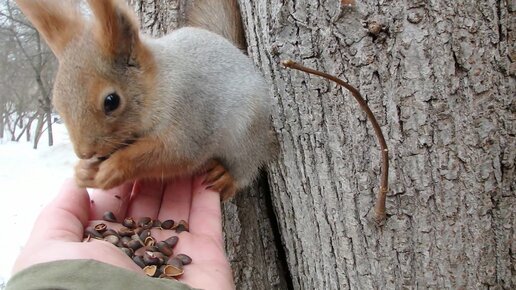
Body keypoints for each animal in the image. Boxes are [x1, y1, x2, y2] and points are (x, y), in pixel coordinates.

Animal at [15, 0, 278, 199]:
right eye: (58, 105)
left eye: (111, 101)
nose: (84, 153)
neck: (159, 83)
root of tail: (236, 52)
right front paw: (82, 172)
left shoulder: (190, 115)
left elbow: (173, 153)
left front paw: (114, 168)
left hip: (247, 133)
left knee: (247, 163)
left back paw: (227, 178)